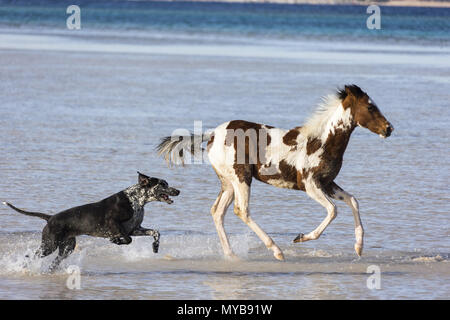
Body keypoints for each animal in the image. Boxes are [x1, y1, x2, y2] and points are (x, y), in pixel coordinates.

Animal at [3, 172, 180, 272]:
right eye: (162, 184)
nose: (178, 191)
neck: (135, 200)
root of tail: (50, 217)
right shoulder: (113, 223)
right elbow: (127, 239)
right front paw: (116, 240)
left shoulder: (135, 228)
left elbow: (155, 232)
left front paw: (155, 246)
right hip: (49, 245)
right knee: (32, 256)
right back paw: (22, 267)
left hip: (67, 248)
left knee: (54, 262)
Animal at [158, 85, 394, 260]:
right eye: (370, 107)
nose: (389, 129)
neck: (322, 141)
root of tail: (213, 134)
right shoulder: (309, 184)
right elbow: (333, 210)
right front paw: (300, 238)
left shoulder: (327, 183)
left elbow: (353, 201)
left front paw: (359, 247)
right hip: (241, 177)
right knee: (241, 210)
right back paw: (276, 250)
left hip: (228, 182)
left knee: (217, 212)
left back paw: (231, 254)